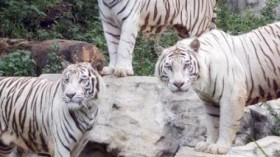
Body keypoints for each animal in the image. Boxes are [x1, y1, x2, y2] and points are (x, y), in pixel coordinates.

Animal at [154, 21, 280, 154]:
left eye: (186, 65)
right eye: (169, 67)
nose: (178, 84)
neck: (203, 81)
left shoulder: (232, 96)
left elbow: (226, 122)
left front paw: (220, 147)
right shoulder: (209, 101)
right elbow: (212, 124)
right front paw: (207, 144)